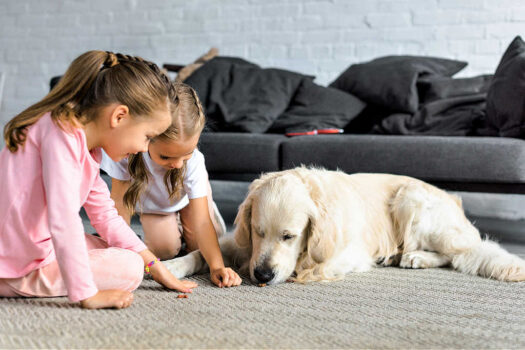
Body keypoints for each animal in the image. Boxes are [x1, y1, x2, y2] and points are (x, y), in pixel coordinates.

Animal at [164, 167, 524, 284]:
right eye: (257, 231)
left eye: (289, 236)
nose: (262, 275)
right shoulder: (244, 244)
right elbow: (201, 253)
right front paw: (173, 266)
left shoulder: (349, 254)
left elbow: (312, 266)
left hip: (411, 200)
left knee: (461, 251)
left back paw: (414, 257)